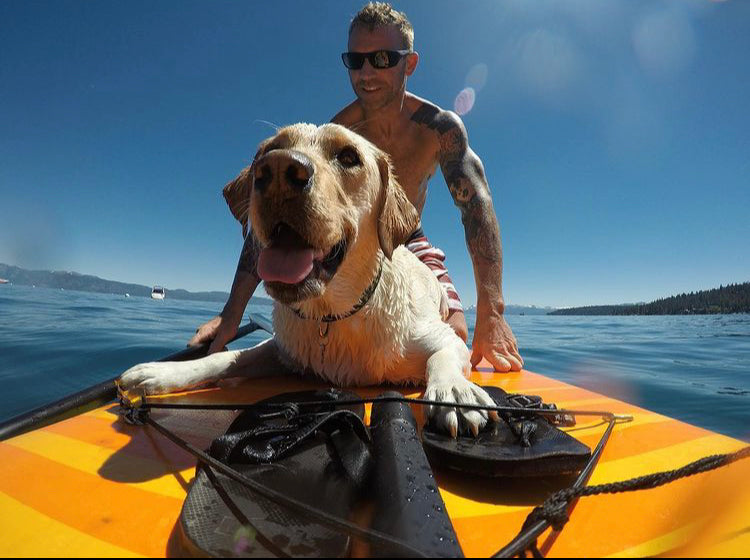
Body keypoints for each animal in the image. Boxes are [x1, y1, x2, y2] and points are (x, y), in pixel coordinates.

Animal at [120, 123, 500, 438]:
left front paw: (455, 393)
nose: (276, 170)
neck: (331, 315)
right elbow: (223, 359)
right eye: (273, 148)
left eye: (349, 156)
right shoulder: (282, 349)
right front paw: (159, 373)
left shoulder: (442, 338)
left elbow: (443, 357)